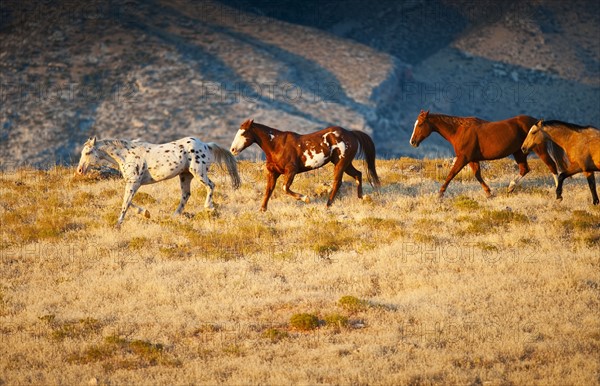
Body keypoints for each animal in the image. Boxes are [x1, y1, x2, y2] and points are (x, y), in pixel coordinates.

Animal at [76, 136, 240, 225]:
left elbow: (125, 203)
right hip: (185, 175)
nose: (79, 170)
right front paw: (145, 213)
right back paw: (174, 216)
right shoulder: (132, 183)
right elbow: (127, 201)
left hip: (198, 172)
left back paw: (209, 207)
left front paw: (119, 223)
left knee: (211, 185)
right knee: (186, 195)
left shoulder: (134, 183)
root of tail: (206, 145)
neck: (127, 154)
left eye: (88, 152)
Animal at [230, 120, 380, 213]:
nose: (233, 149)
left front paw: (305, 198)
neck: (277, 146)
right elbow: (269, 190)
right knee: (358, 174)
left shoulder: (291, 170)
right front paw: (262, 209)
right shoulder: (273, 172)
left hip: (341, 163)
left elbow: (284, 188)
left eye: (243, 133)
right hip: (345, 163)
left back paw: (327, 205)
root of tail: (351, 133)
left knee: (338, 182)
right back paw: (363, 197)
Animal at [408, 110, 568, 198]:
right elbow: (478, 175)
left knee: (552, 166)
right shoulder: (472, 159)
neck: (459, 131)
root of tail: (537, 122)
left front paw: (440, 195)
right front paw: (489, 193)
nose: (412, 142)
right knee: (525, 169)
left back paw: (558, 193)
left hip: (539, 150)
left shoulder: (463, 158)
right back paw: (510, 188)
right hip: (519, 152)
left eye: (420, 124)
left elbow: (451, 174)